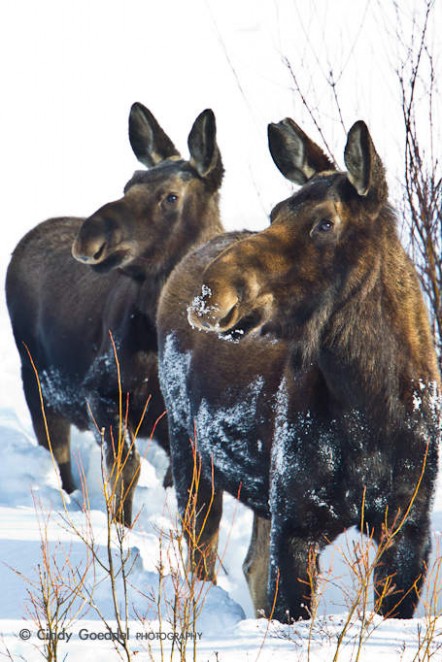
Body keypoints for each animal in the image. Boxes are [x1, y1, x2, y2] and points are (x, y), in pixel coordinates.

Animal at [6, 104, 226, 528]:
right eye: (129, 184)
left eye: (170, 197)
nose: (89, 238)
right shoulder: (100, 392)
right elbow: (126, 468)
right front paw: (120, 528)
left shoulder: (181, 427)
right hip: (36, 380)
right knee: (58, 457)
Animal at [158, 118, 438, 624]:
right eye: (275, 212)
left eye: (325, 222)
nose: (212, 292)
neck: (369, 408)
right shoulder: (295, 523)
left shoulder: (408, 531)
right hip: (190, 456)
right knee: (204, 556)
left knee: (247, 564)